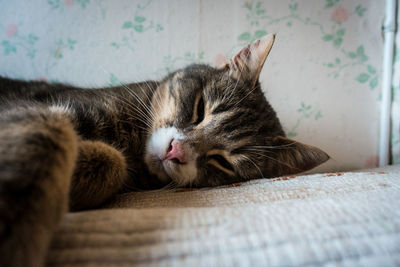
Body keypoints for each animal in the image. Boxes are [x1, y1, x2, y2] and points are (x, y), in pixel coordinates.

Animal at [0, 34, 328, 266]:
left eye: (222, 162)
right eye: (200, 109)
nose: (176, 151)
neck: (133, 147)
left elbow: (112, 162)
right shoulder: (40, 111)